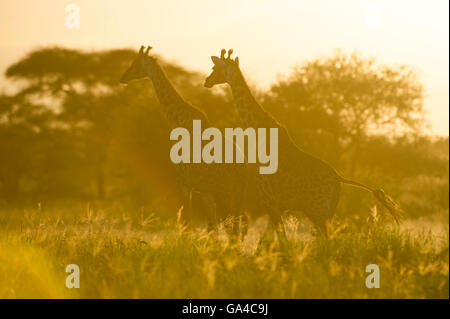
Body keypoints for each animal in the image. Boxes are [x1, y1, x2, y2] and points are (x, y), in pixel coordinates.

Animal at [121, 45, 248, 238]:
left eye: (136, 64)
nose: (123, 78)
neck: (178, 119)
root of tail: (242, 170)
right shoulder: (202, 190)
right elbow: (207, 227)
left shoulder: (184, 183)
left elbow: (187, 223)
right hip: (233, 194)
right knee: (234, 226)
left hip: (225, 192)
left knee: (233, 226)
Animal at [203, 49, 400, 240]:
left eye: (214, 68)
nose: (206, 81)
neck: (260, 132)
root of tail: (338, 179)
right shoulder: (278, 205)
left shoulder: (269, 200)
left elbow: (280, 242)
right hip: (326, 212)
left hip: (318, 211)